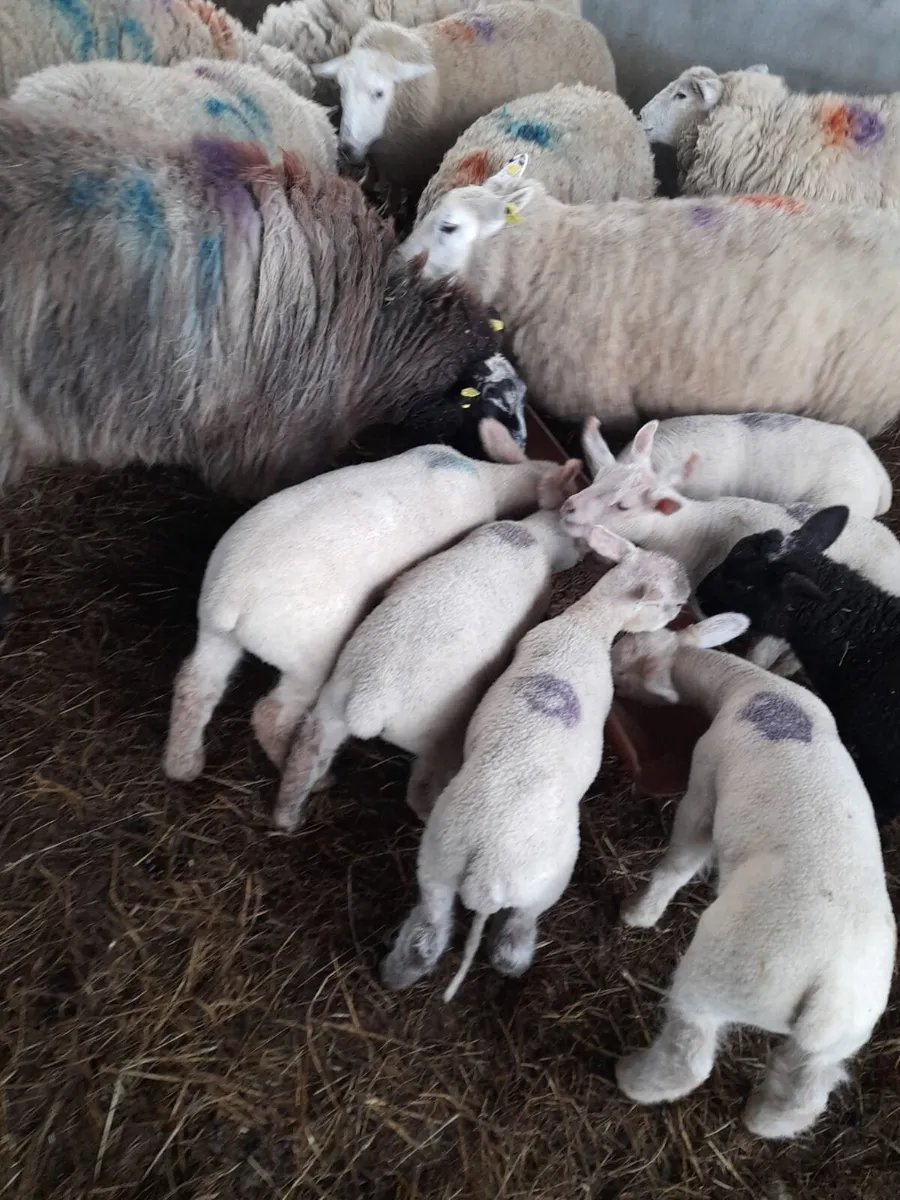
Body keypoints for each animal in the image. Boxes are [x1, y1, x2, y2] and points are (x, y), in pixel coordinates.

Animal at [162, 421, 583, 789]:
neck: (489, 480)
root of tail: (232, 596)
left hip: (215, 633)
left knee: (194, 683)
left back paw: (183, 764)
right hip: (307, 658)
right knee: (270, 715)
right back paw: (314, 780)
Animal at [272, 508, 584, 831]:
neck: (530, 534)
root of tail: (368, 699)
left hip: (332, 704)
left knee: (305, 754)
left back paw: (287, 818)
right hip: (435, 734)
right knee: (420, 788)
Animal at [379, 527, 690, 1000]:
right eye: (671, 605)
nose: (687, 594)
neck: (585, 625)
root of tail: (483, 873)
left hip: (436, 862)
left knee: (427, 933)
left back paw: (394, 974)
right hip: (544, 880)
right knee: (513, 936)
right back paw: (516, 962)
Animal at [609, 614, 895, 1139]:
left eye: (626, 667)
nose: (611, 648)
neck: (745, 686)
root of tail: (825, 994)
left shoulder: (704, 780)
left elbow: (682, 858)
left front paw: (640, 912)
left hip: (723, 976)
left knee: (690, 1055)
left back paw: (634, 1077)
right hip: (841, 1036)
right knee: (808, 1088)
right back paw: (765, 1121)